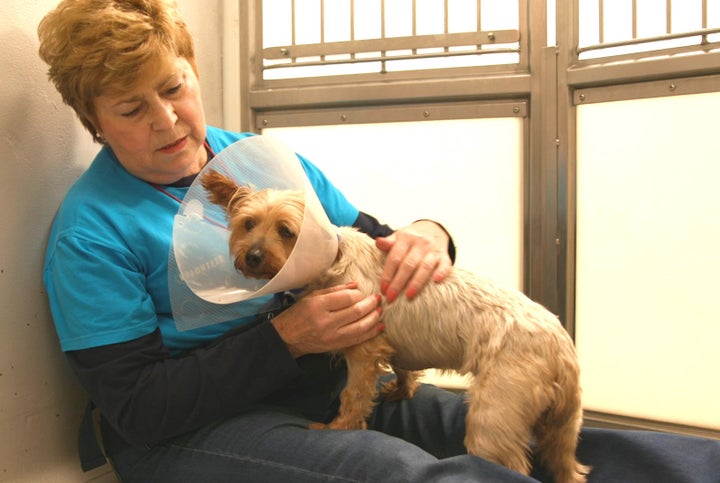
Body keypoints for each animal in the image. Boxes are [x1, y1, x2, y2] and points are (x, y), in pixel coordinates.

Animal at [200, 170, 588, 480]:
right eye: (248, 224)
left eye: (286, 231)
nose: (252, 256)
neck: (332, 258)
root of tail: (563, 348)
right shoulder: (391, 348)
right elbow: (402, 368)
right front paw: (401, 389)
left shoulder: (361, 349)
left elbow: (353, 395)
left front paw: (339, 427)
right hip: (563, 431)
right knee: (570, 469)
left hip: (493, 420)